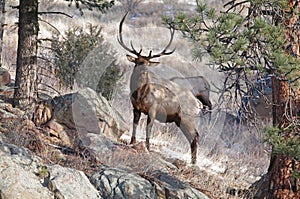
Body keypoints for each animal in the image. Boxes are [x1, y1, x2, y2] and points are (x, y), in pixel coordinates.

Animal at [117, 12, 202, 165]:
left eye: (148, 63)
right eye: (138, 61)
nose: (144, 70)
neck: (140, 95)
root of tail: (198, 104)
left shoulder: (153, 109)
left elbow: (148, 128)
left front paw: (148, 147)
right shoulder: (135, 108)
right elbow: (134, 124)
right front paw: (132, 142)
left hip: (187, 117)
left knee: (195, 136)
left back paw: (193, 163)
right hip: (180, 120)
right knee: (193, 137)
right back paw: (192, 162)